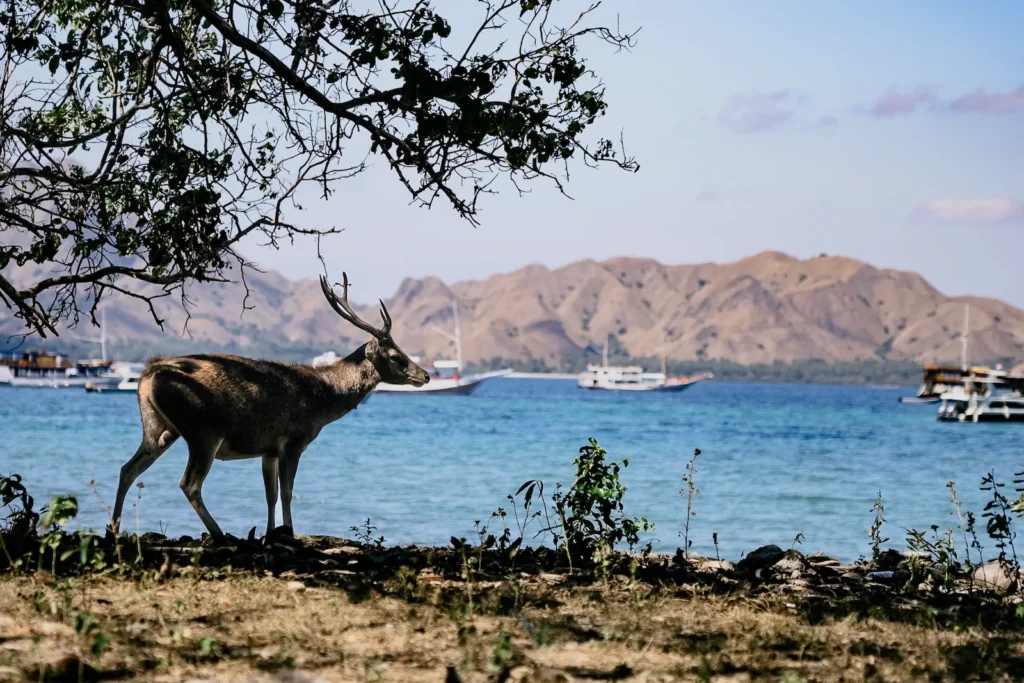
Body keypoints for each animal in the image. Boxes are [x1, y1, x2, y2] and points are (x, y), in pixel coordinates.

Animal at [109, 271, 429, 543]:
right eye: (396, 356)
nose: (425, 375)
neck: (324, 397)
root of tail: (149, 374)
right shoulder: (294, 440)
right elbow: (287, 492)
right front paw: (289, 532)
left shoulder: (268, 449)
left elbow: (270, 494)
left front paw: (269, 533)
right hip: (203, 429)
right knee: (189, 483)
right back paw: (220, 534)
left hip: (158, 428)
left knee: (127, 469)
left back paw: (113, 528)